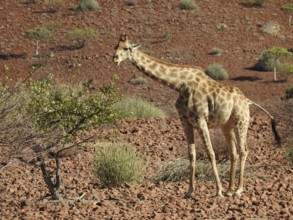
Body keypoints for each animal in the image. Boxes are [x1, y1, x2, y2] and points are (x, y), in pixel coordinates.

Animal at [112, 35, 280, 199]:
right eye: (115, 46)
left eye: (126, 48)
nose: (115, 59)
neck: (179, 85)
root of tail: (248, 101)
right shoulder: (185, 120)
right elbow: (192, 154)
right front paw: (190, 191)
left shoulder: (200, 119)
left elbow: (210, 153)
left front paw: (218, 191)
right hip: (227, 126)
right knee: (234, 153)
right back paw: (230, 190)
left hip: (241, 122)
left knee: (244, 151)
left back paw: (238, 190)